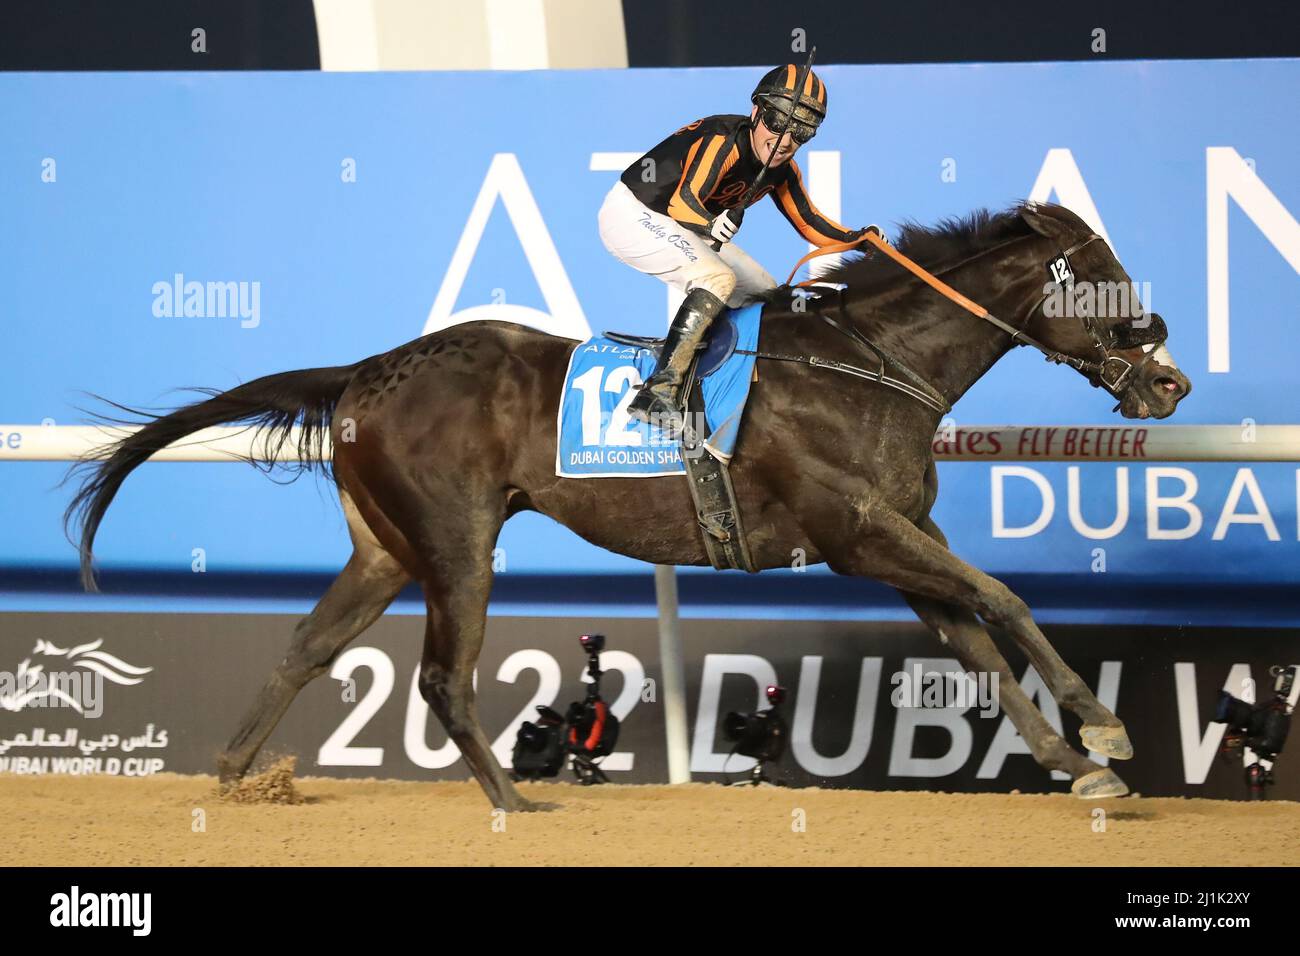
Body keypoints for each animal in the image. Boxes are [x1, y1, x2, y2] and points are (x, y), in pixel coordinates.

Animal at [68, 200, 1190, 806]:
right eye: (1101, 277)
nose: (1170, 379)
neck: (870, 363)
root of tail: (368, 370)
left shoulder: (899, 531)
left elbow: (976, 640)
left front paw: (1069, 758)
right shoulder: (858, 534)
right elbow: (1002, 600)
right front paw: (1104, 730)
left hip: (384, 547)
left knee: (306, 645)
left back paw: (231, 776)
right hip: (456, 541)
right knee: (440, 677)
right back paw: (514, 802)